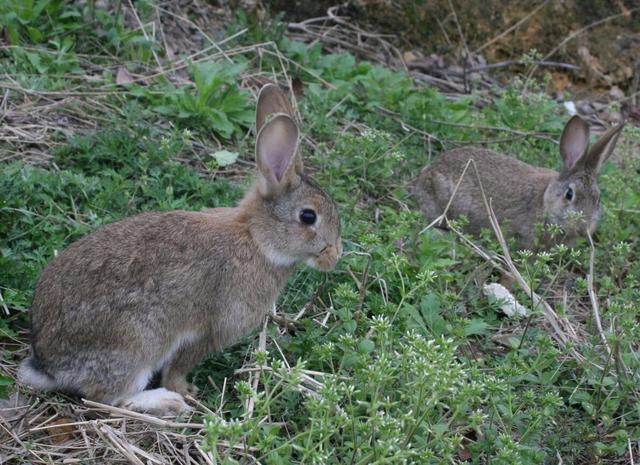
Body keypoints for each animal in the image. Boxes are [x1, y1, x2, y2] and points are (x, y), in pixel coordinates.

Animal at [17, 85, 342, 416]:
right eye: (308, 216)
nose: (335, 255)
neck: (256, 240)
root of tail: (48, 365)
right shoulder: (207, 331)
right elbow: (177, 368)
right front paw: (185, 391)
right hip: (137, 344)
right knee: (108, 398)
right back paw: (165, 401)